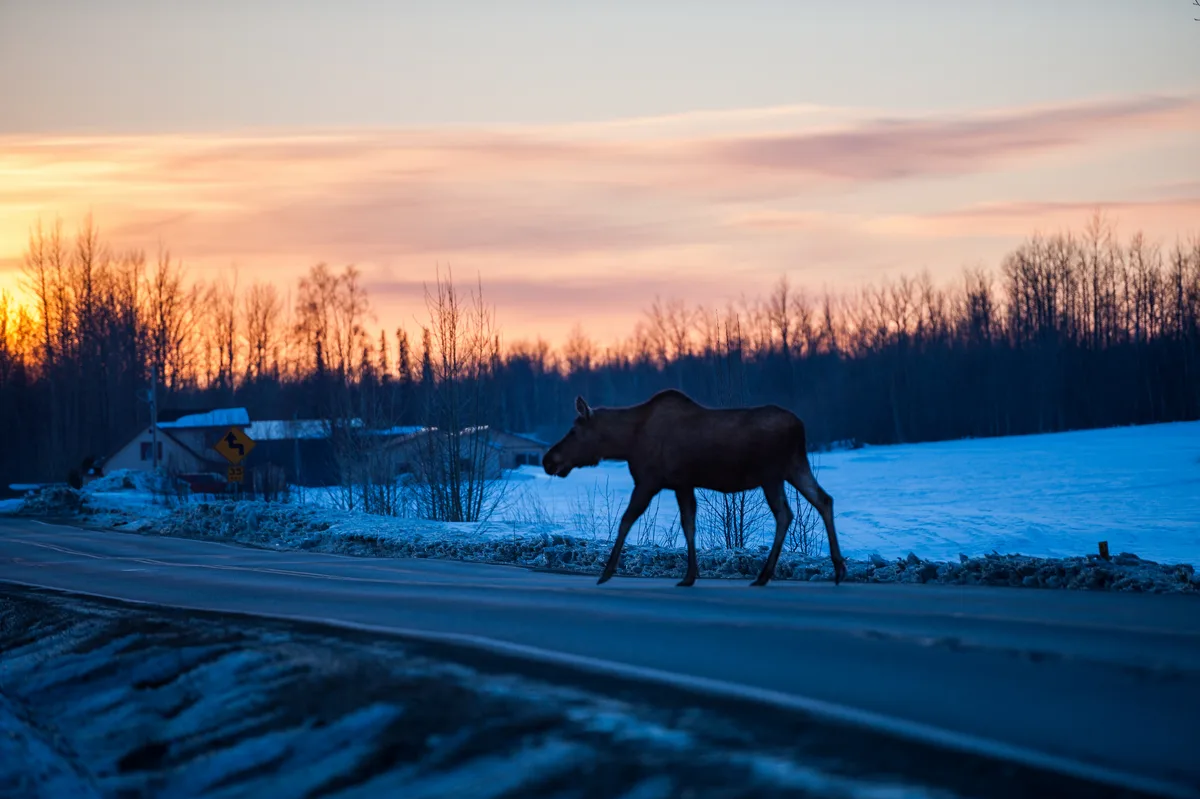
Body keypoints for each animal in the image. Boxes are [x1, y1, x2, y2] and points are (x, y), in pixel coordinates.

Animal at [542, 389, 846, 588]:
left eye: (573, 430)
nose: (548, 460)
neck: (625, 443)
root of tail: (800, 426)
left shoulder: (649, 481)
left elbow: (626, 520)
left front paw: (606, 572)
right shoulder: (682, 484)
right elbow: (689, 524)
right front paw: (689, 575)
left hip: (772, 475)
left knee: (785, 513)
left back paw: (764, 575)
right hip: (794, 467)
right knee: (824, 500)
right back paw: (838, 569)